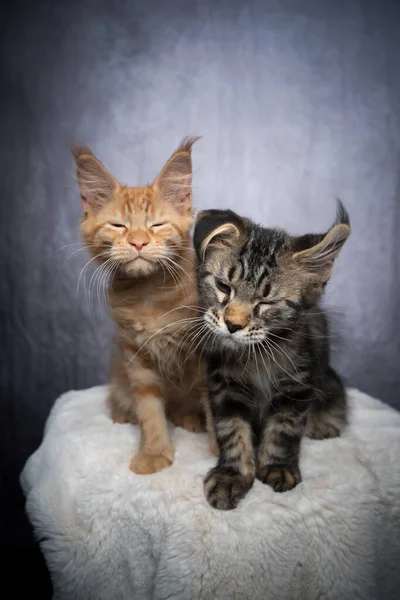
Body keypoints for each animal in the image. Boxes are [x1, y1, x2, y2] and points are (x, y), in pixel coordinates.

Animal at [73, 138, 214, 476]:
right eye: (118, 226)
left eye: (157, 225)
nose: (138, 242)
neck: (148, 296)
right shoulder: (135, 355)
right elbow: (150, 409)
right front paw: (154, 451)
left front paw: (223, 454)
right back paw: (125, 413)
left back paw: (189, 418)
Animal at [194, 203, 350, 510]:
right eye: (223, 287)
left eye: (266, 303)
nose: (233, 325)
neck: (255, 357)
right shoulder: (224, 386)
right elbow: (232, 431)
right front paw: (232, 475)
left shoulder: (297, 384)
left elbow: (284, 429)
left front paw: (278, 467)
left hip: (327, 378)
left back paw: (323, 423)